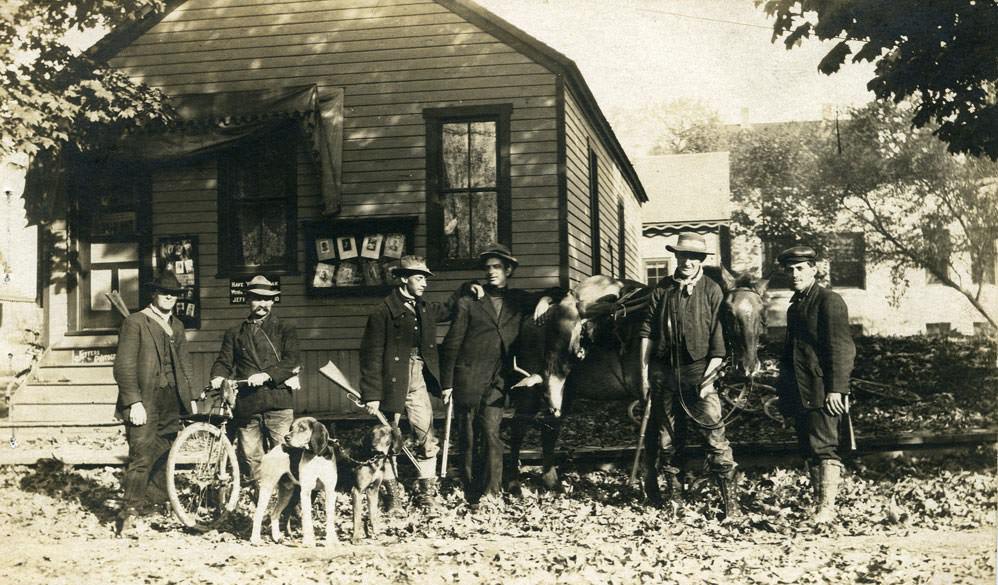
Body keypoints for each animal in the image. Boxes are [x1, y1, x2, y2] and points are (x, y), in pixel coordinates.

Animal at [512, 266, 768, 490]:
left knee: (550, 427)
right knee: (520, 426)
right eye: (728, 311)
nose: (748, 367)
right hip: (534, 392)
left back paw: (551, 483)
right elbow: (652, 444)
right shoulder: (650, 397)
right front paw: (653, 491)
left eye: (761, 310)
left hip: (567, 392)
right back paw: (514, 484)